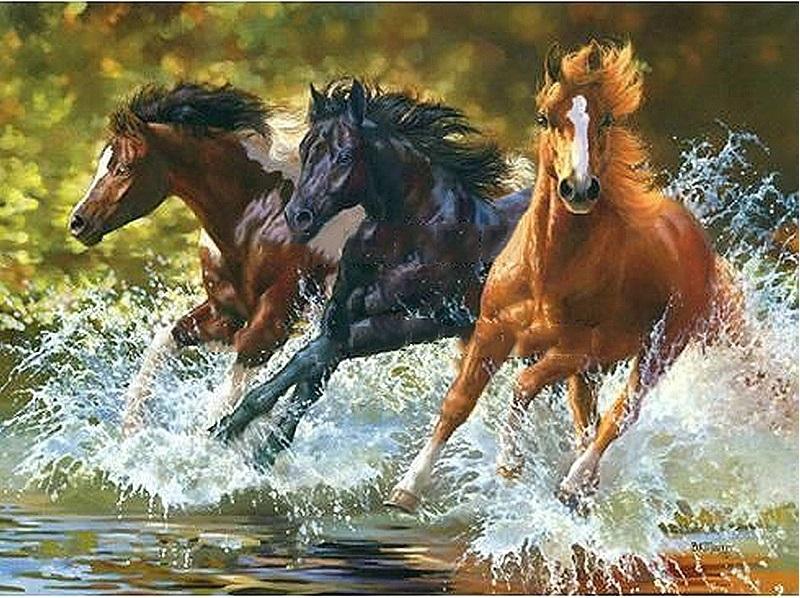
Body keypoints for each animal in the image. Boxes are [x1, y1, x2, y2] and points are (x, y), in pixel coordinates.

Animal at [69, 82, 361, 435]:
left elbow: (228, 400)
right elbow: (165, 340)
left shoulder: (272, 323)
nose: (78, 222)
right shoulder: (226, 313)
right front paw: (131, 431)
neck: (260, 221)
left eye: (123, 168)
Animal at [210, 79, 561, 473]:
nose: (298, 217)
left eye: (345, 155)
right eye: (305, 150)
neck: (411, 235)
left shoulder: (416, 322)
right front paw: (260, 452)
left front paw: (231, 426)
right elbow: (312, 376)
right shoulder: (340, 315)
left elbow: (311, 356)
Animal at [387, 40, 744, 512]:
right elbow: (458, 402)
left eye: (606, 119)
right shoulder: (492, 331)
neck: (547, 272)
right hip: (590, 371)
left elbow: (522, 386)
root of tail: (697, 239)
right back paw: (584, 486)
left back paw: (573, 483)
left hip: (656, 349)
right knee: (588, 418)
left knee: (621, 413)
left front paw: (509, 464)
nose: (578, 188)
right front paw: (407, 487)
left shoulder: (579, 349)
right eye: (544, 118)